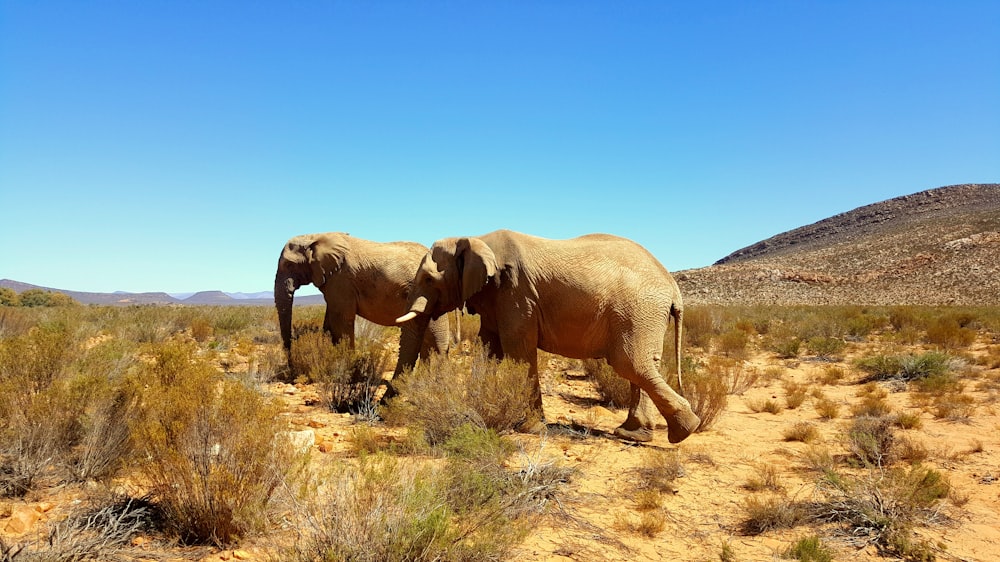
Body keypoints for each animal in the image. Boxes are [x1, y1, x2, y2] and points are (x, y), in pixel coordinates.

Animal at [272, 230, 448, 382]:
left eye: (289, 265)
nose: (290, 369)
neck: (314, 236)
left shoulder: (341, 280)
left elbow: (342, 321)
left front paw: (348, 371)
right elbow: (330, 323)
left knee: (435, 339)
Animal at [398, 228, 704, 442]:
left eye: (428, 279)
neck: (475, 238)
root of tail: (672, 286)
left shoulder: (517, 293)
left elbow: (518, 351)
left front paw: (529, 427)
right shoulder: (497, 297)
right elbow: (488, 347)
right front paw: (473, 414)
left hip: (638, 311)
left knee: (630, 363)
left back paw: (684, 430)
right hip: (644, 316)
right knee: (642, 365)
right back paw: (634, 434)